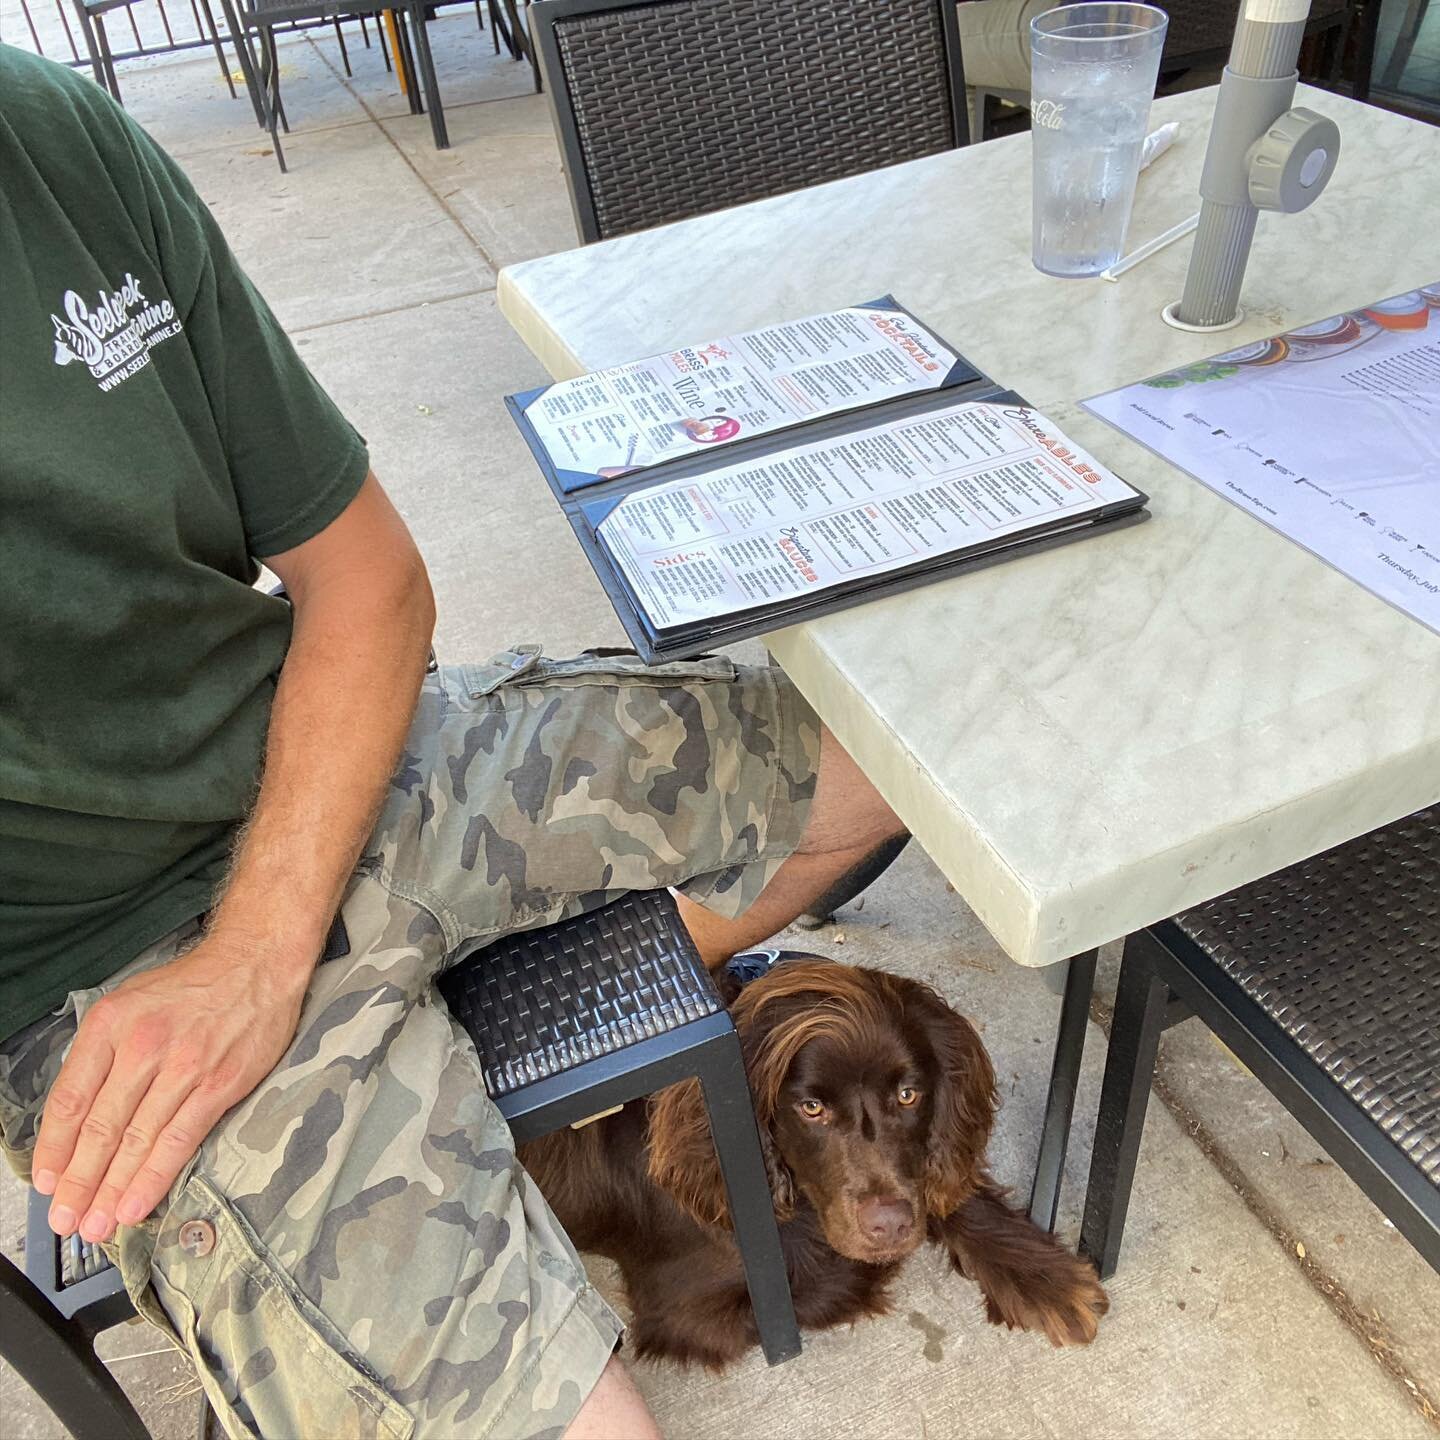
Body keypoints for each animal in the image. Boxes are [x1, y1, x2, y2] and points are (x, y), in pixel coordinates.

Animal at [524, 961, 1105, 1365]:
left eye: (908, 1095)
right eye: (811, 1108)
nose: (889, 1225)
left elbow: (943, 1192)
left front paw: (1044, 1275)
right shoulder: (685, 1314)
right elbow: (828, 1280)